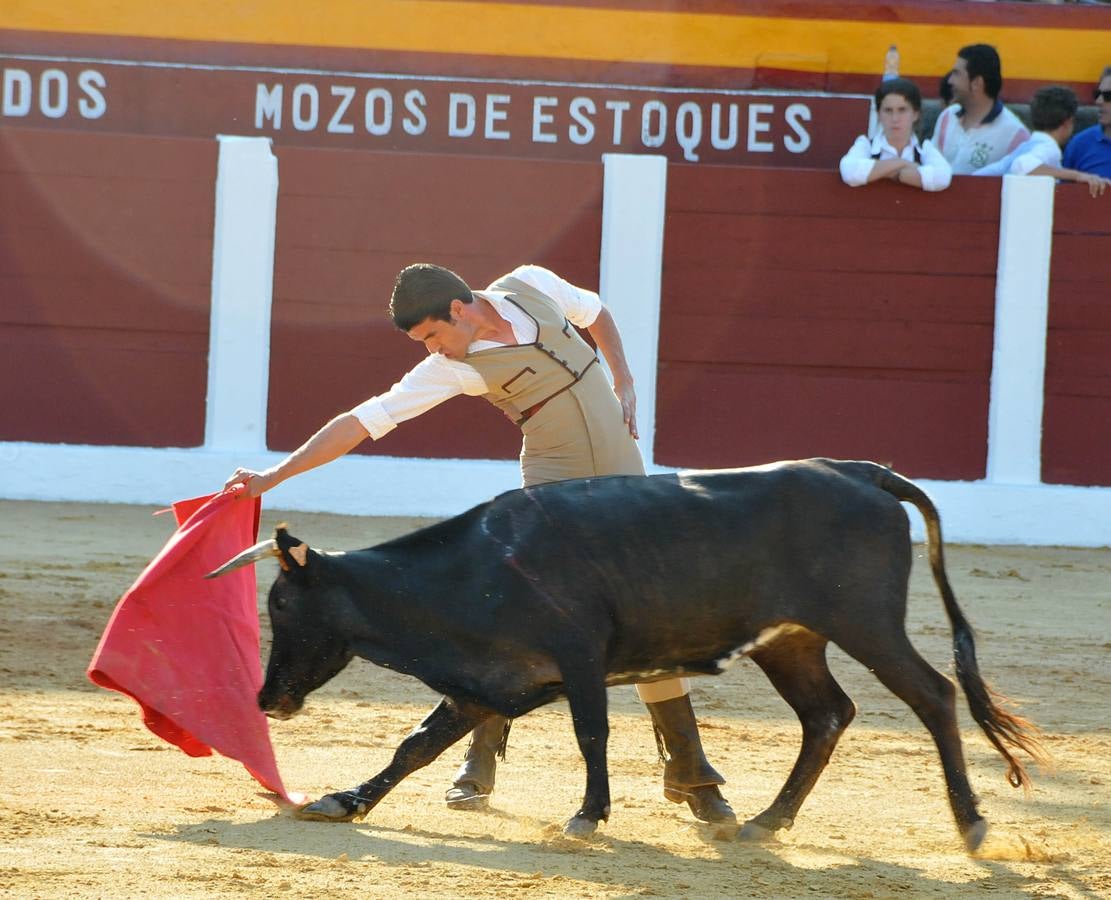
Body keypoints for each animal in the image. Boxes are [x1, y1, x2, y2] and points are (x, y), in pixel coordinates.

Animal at [208, 460, 1039, 844]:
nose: (265, 697)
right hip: (791, 641)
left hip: (867, 623)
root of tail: (859, 471)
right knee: (826, 714)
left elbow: (591, 733)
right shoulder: (488, 678)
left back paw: (970, 823)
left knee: (932, 695)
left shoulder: (577, 657)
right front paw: (343, 800)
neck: (475, 569)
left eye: (279, 603)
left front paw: (586, 816)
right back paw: (766, 820)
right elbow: (416, 744)